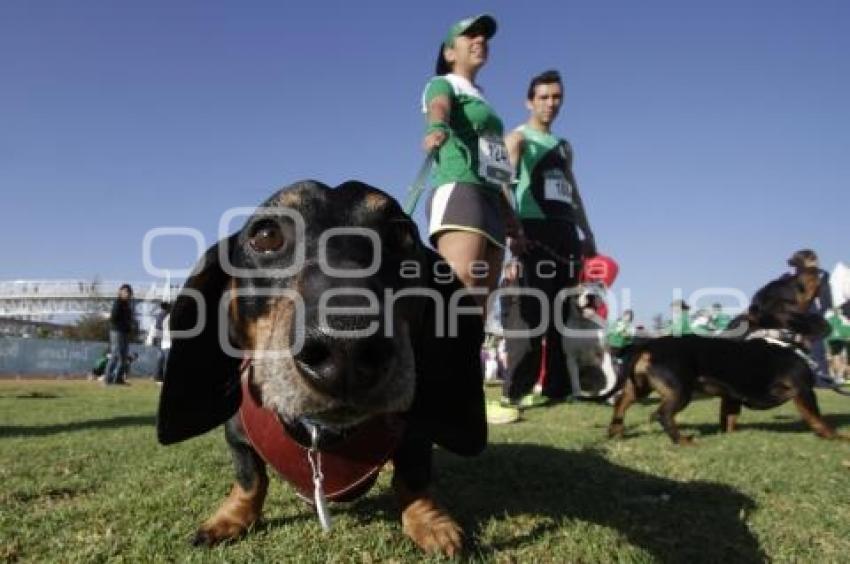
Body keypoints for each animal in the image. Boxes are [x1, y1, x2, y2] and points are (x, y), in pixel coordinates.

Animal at [158, 181, 486, 556]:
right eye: (266, 235)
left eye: (400, 236)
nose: (346, 347)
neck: (322, 432)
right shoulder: (237, 435)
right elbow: (250, 478)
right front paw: (230, 518)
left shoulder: (416, 434)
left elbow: (413, 477)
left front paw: (430, 522)